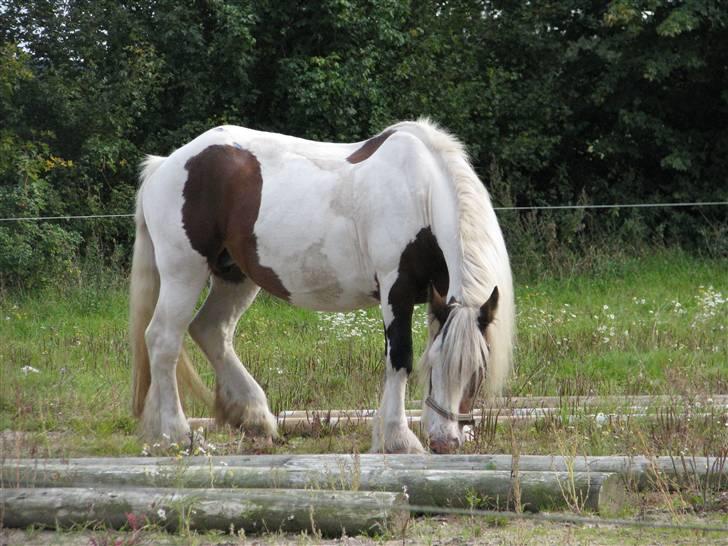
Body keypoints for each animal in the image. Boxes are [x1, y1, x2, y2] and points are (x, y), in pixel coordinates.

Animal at [132, 118, 516, 450]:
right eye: (436, 366)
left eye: (479, 371)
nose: (444, 442)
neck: (420, 192)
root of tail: (163, 165)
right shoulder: (396, 290)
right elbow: (400, 357)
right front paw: (398, 439)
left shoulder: (437, 296)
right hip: (184, 272)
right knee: (163, 340)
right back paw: (177, 433)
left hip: (234, 276)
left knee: (212, 330)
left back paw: (254, 418)